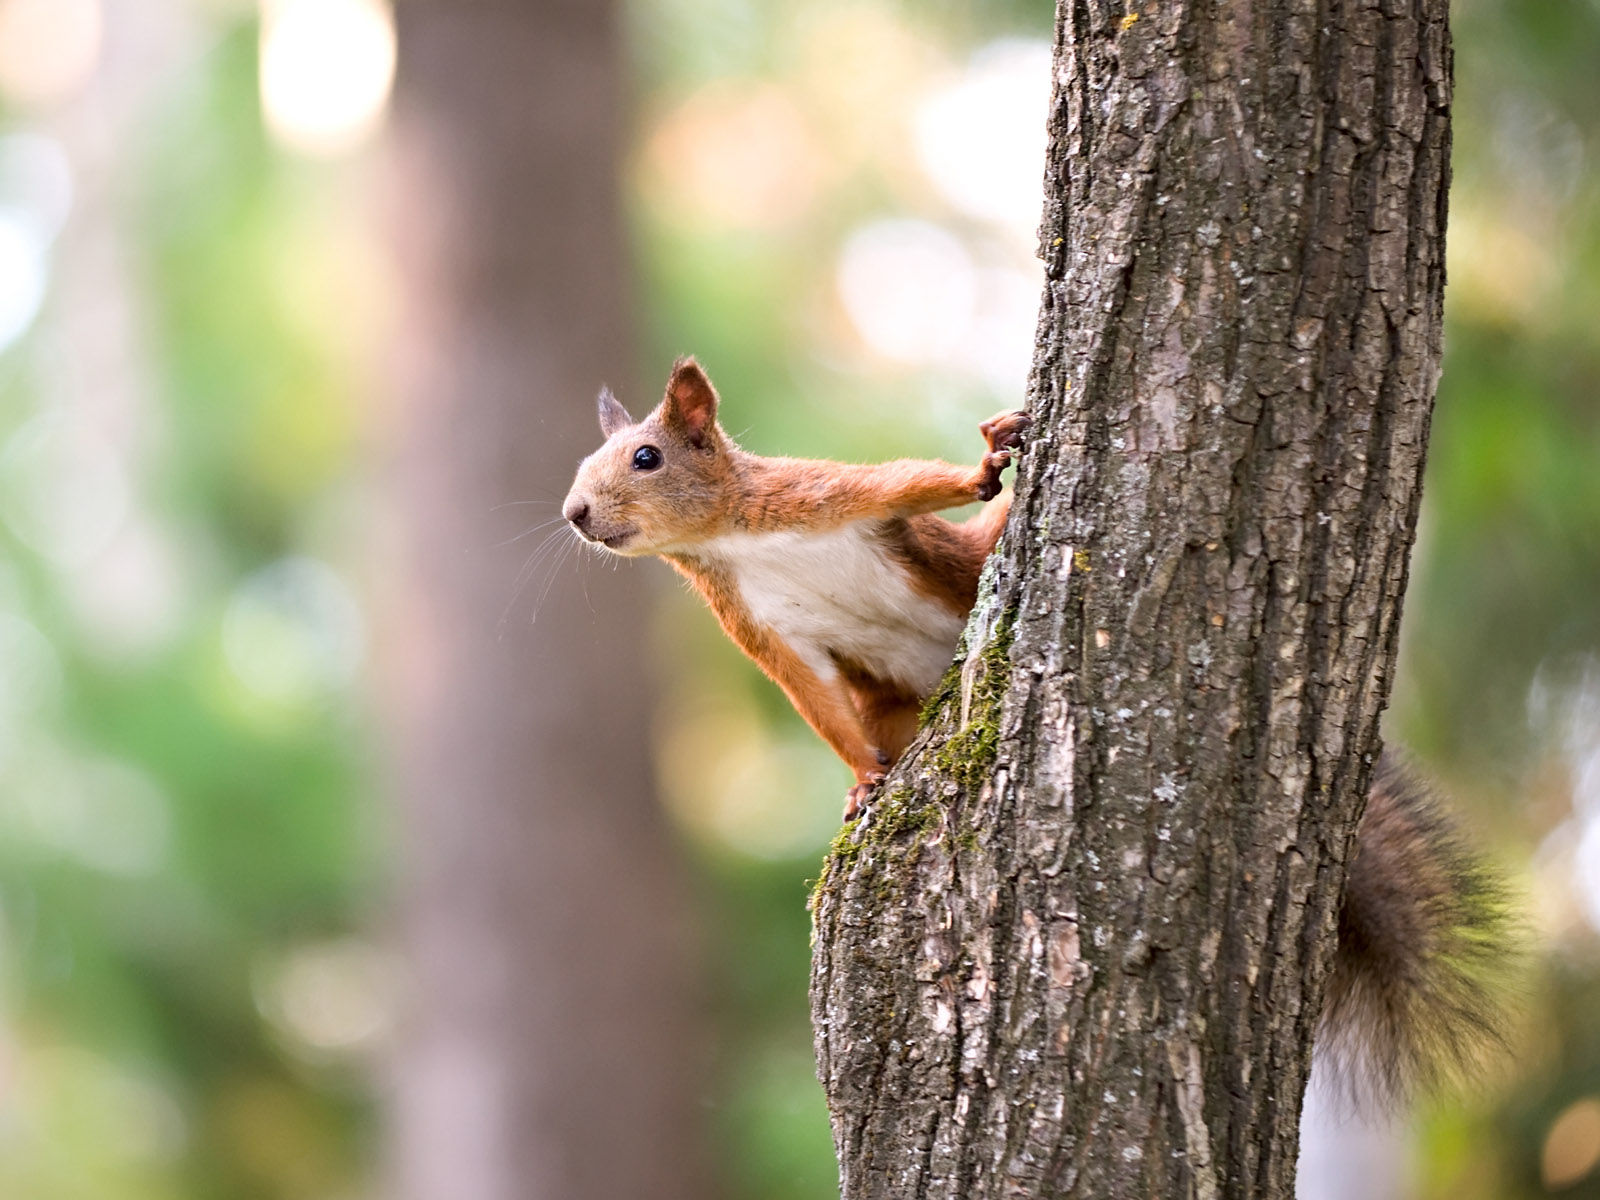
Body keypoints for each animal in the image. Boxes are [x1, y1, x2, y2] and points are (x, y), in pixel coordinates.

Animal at [569, 356, 1030, 819]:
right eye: (584, 462)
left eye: (647, 457)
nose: (574, 512)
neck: (724, 540)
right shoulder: (756, 619)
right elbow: (813, 691)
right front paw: (864, 778)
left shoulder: (816, 493)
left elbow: (904, 483)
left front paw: (983, 469)